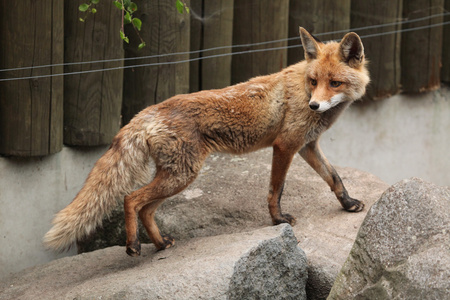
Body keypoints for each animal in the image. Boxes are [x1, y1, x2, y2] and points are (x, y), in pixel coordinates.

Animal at [44, 27, 370, 255]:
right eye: (314, 82)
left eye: (334, 83)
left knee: (146, 208)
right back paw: (133, 245)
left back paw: (160, 245)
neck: (301, 89)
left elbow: (334, 178)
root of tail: (148, 111)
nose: (315, 106)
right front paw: (278, 221)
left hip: (177, 176)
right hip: (182, 175)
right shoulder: (285, 145)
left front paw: (348, 203)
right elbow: (275, 190)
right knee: (131, 198)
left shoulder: (307, 146)